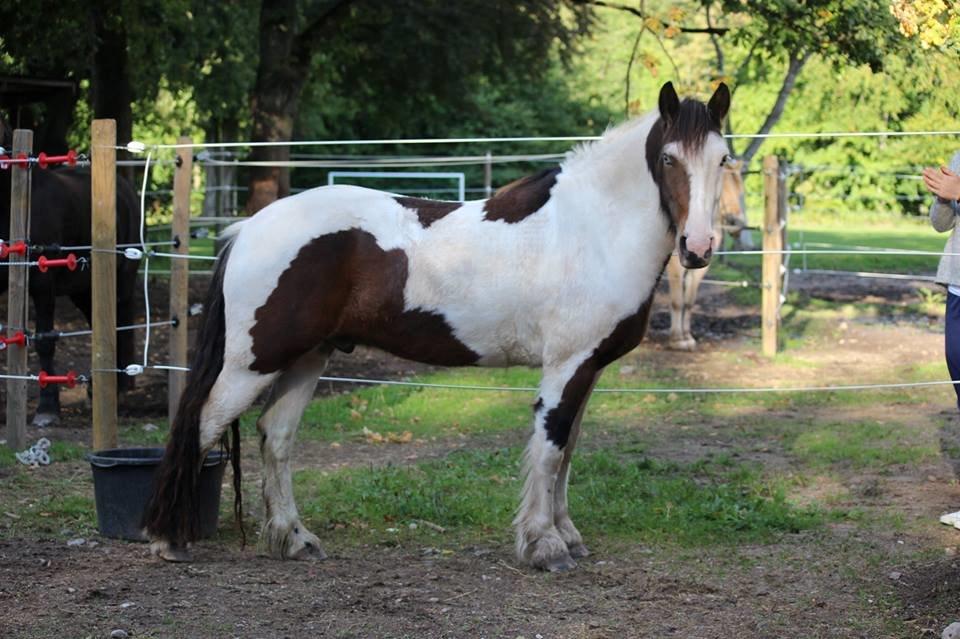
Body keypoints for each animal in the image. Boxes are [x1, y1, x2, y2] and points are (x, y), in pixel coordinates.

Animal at [142, 82, 732, 572]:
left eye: (723, 159)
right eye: (668, 158)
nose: (698, 247)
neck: (588, 229)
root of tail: (247, 229)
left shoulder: (587, 369)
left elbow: (567, 453)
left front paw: (567, 535)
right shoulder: (566, 367)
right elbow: (549, 450)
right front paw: (544, 546)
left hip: (309, 357)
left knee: (276, 436)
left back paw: (294, 539)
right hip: (252, 363)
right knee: (201, 423)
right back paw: (170, 539)